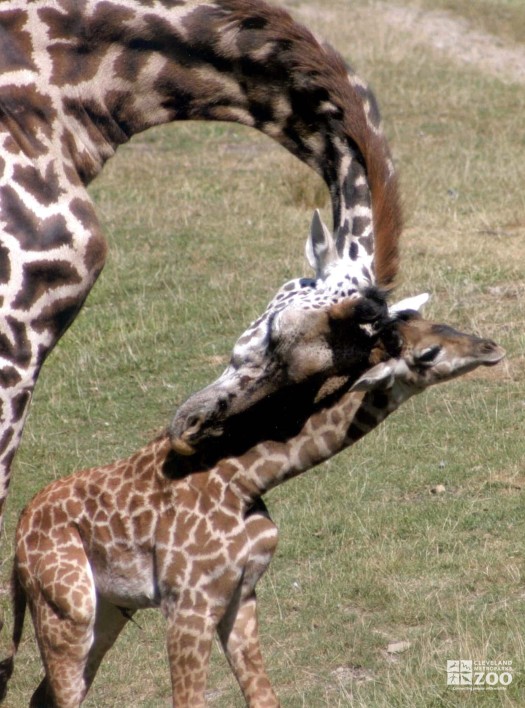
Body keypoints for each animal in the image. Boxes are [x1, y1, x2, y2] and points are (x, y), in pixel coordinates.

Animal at [0, 304, 502, 704]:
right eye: (428, 353)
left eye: (439, 321)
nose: (491, 347)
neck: (243, 479)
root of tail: (19, 543)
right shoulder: (188, 605)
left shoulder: (241, 595)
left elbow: (264, 697)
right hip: (68, 609)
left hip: (107, 611)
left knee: (46, 695)